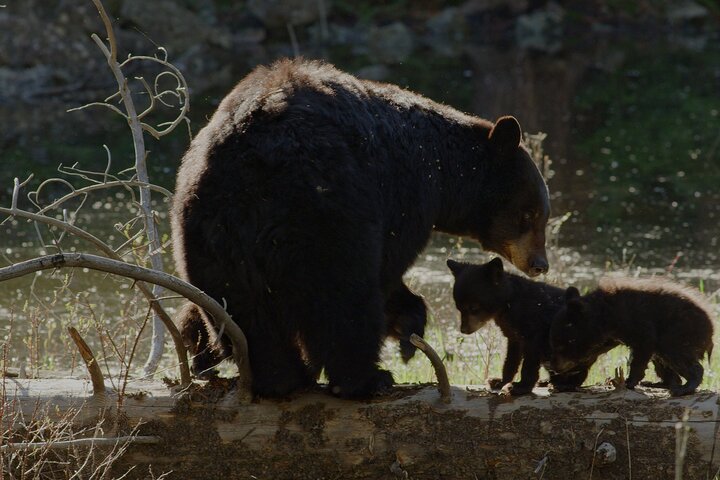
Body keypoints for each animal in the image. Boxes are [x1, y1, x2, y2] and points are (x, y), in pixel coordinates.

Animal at [171, 58, 550, 398]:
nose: (540, 264)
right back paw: (363, 379)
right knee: (345, 298)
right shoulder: (405, 194)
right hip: (327, 217)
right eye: (530, 214)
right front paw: (406, 326)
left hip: (209, 235)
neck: (443, 171)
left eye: (541, 215)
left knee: (243, 310)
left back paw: (278, 376)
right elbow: (388, 267)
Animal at [447, 257, 612, 395]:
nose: (464, 330)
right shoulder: (512, 335)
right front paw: (500, 381)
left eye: (474, 308)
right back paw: (548, 381)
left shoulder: (534, 331)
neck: (508, 304)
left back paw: (566, 384)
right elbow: (510, 360)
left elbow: (530, 362)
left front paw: (520, 387)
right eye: (459, 308)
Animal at [550, 278, 714, 396]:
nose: (553, 367)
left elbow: (642, 348)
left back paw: (684, 387)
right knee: (662, 360)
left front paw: (629, 381)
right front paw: (566, 382)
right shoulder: (608, 338)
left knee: (675, 353)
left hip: (680, 331)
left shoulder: (637, 322)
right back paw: (659, 383)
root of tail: (711, 330)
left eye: (561, 343)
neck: (605, 317)